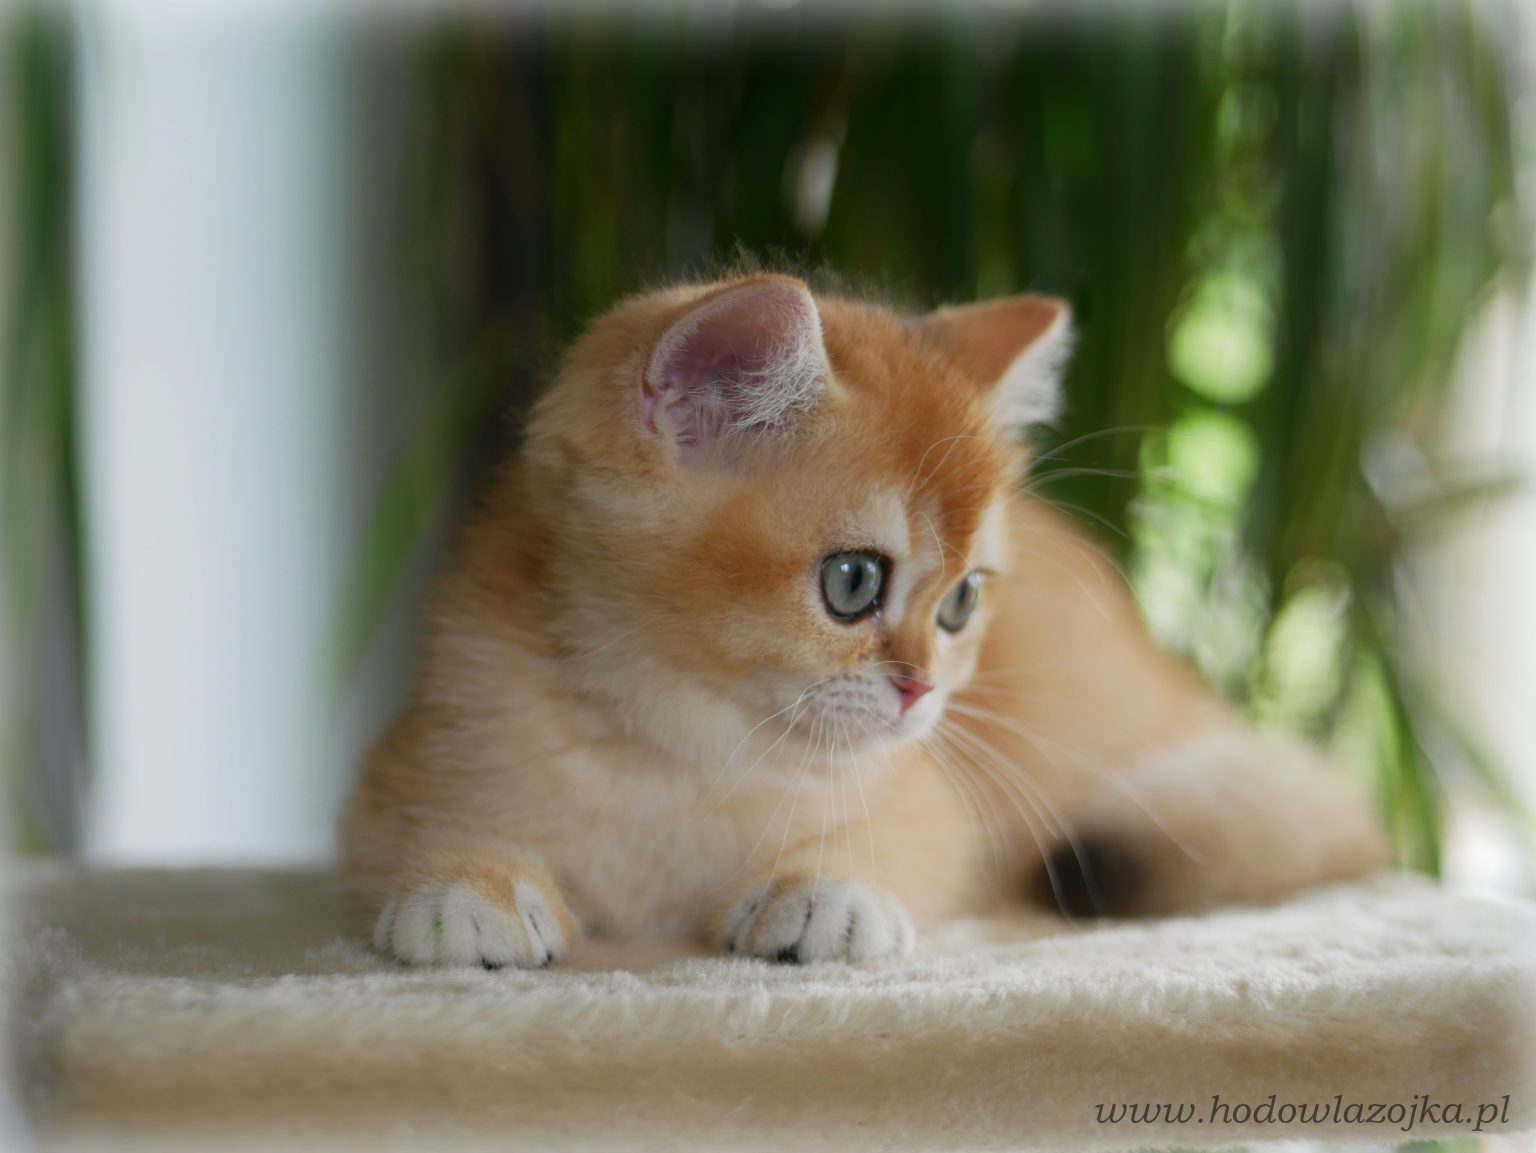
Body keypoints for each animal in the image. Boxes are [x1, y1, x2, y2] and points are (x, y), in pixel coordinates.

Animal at [341, 273, 1388, 969]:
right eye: (852, 582)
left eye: (962, 600)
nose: (922, 688)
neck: (683, 748)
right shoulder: (421, 745)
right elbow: (415, 832)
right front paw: (463, 885)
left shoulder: (939, 804)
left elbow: (889, 845)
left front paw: (827, 892)